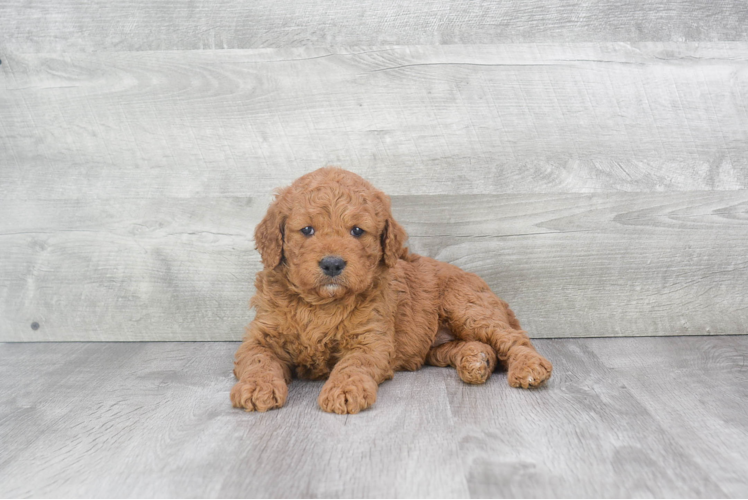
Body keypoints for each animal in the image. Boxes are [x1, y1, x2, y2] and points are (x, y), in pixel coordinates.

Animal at [231, 168, 552, 414]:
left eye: (357, 231)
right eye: (307, 230)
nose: (333, 264)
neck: (322, 304)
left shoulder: (371, 340)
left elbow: (353, 364)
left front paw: (344, 391)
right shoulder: (261, 336)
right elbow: (258, 360)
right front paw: (257, 387)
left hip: (467, 307)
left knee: (513, 339)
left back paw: (529, 366)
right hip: (436, 345)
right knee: (470, 347)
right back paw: (476, 360)